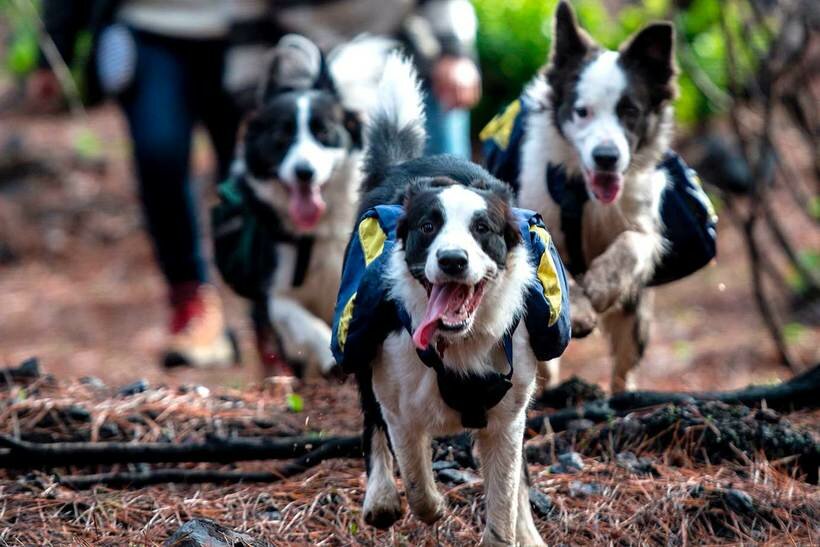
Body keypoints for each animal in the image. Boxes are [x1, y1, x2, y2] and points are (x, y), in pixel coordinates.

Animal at [211, 34, 390, 376]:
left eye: (324, 132)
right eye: (282, 137)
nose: (303, 172)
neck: (314, 234)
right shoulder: (274, 290)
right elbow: (302, 321)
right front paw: (327, 356)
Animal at [334, 55, 572, 547]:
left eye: (482, 228)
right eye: (428, 226)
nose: (452, 260)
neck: (459, 343)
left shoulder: (507, 418)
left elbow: (505, 497)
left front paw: (512, 530)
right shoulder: (399, 405)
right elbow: (416, 478)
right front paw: (427, 506)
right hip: (359, 344)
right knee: (371, 424)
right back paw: (381, 497)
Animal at [512, 1, 680, 394]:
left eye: (630, 111)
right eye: (581, 111)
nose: (607, 157)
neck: (586, 196)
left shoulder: (645, 226)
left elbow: (631, 244)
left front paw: (599, 290)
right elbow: (550, 259)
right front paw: (581, 308)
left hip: (636, 318)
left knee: (624, 364)